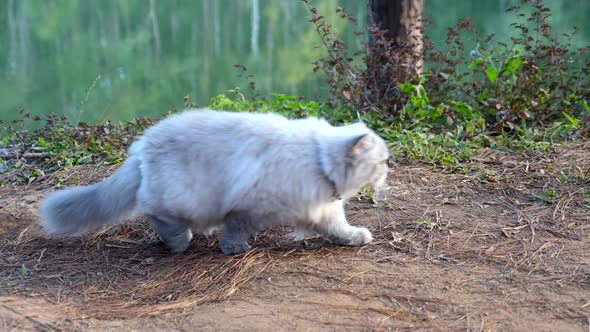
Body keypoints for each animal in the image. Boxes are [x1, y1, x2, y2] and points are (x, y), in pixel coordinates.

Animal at [41, 109, 394, 254]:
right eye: (382, 161)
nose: (391, 164)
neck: (319, 159)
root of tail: (142, 146)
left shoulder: (324, 210)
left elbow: (340, 230)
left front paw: (354, 238)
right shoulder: (249, 207)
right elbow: (236, 228)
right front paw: (234, 249)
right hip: (179, 198)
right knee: (156, 215)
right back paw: (179, 242)